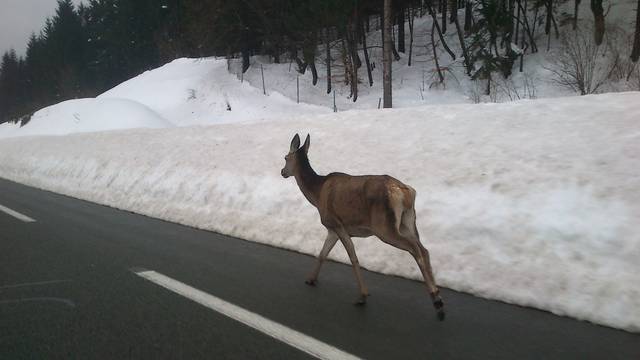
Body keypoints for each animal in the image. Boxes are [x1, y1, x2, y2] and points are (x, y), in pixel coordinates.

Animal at [280, 134, 444, 320]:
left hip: (384, 226)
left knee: (415, 249)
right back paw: (438, 298)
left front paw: (363, 295)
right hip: (408, 222)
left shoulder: (336, 222)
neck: (316, 194)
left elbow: (352, 256)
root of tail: (406, 192)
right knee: (424, 249)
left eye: (285, 158)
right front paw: (311, 279)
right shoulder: (332, 229)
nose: (282, 172)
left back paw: (436, 299)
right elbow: (323, 254)